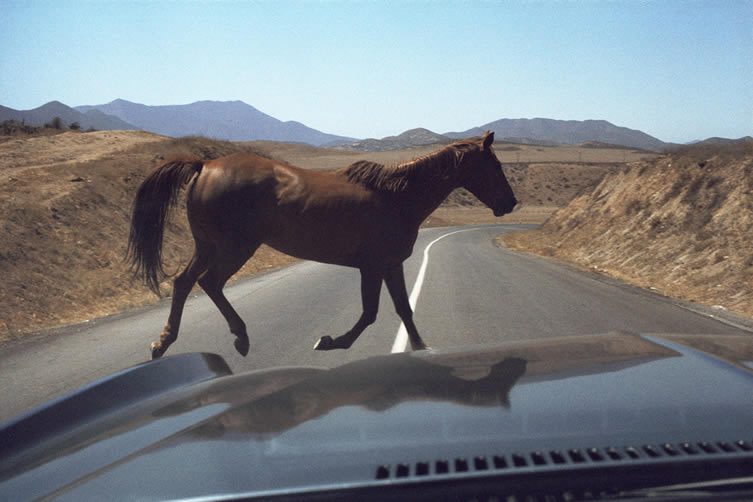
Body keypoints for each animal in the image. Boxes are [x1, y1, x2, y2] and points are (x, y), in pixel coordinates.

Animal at [129, 129, 516, 356]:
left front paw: (421, 347)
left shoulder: (390, 265)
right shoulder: (373, 266)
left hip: (208, 246)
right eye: (495, 165)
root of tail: (204, 166)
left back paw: (163, 341)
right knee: (209, 283)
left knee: (184, 282)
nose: (510, 203)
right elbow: (371, 313)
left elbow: (403, 310)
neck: (397, 198)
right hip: (234, 248)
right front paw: (331, 341)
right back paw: (240, 337)